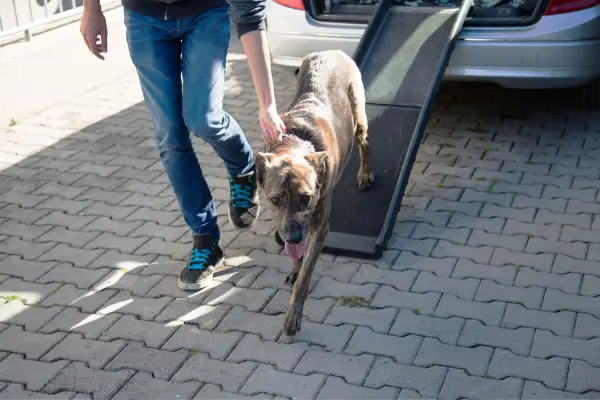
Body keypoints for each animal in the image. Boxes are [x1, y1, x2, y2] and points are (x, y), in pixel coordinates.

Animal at [254, 50, 376, 338]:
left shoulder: (319, 226)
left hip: (359, 114)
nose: (293, 236)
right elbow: (298, 258)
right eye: (275, 200)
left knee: (364, 143)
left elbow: (305, 276)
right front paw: (294, 268)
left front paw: (293, 316)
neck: (296, 143)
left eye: (306, 198)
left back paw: (364, 174)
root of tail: (333, 51)